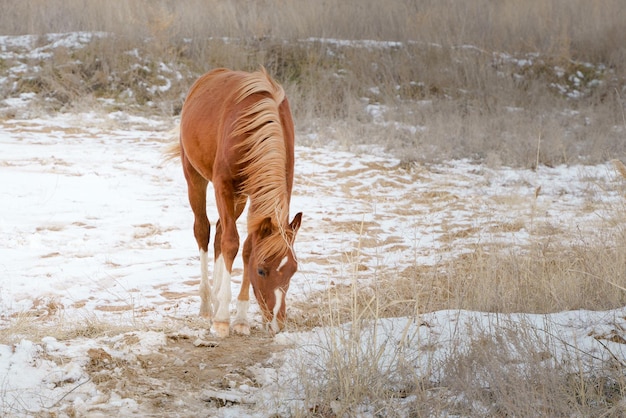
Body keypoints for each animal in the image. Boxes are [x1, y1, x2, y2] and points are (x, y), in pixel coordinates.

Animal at [166, 68, 302, 336]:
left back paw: (218, 296)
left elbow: (247, 248)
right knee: (204, 230)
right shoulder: (223, 187)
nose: (277, 322)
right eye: (262, 270)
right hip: (195, 178)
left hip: (239, 199)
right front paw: (221, 320)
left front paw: (240, 318)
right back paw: (207, 304)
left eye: (293, 270)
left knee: (220, 231)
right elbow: (230, 244)